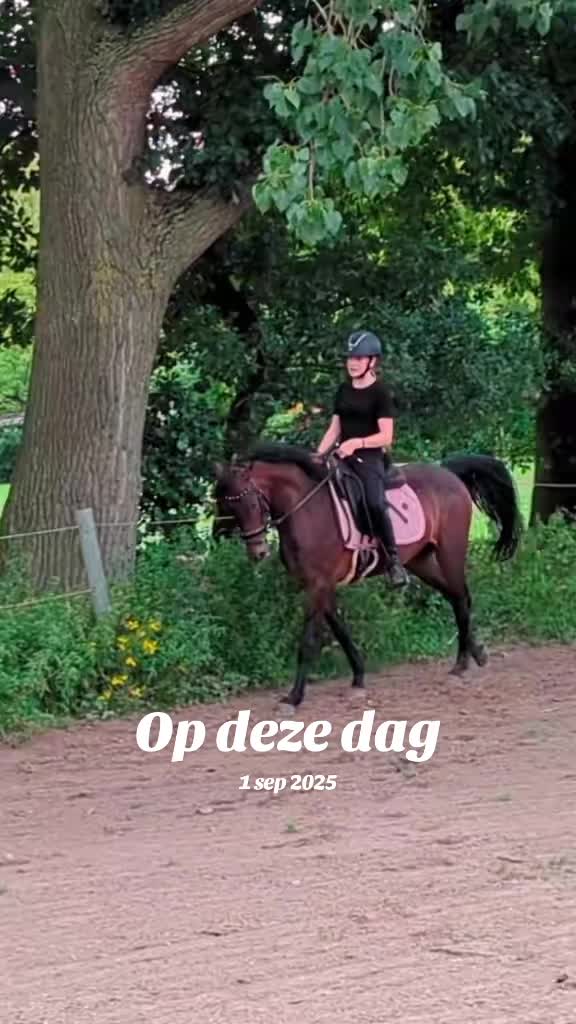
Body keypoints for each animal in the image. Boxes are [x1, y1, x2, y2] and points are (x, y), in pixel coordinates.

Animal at [212, 443, 522, 707]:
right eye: (227, 506)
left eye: (251, 504)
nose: (258, 552)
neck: (306, 509)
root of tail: (446, 471)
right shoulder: (319, 585)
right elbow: (340, 629)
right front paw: (358, 676)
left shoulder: (317, 585)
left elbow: (309, 640)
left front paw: (295, 696)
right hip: (421, 561)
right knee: (455, 596)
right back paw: (475, 654)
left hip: (450, 553)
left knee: (460, 596)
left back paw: (462, 663)